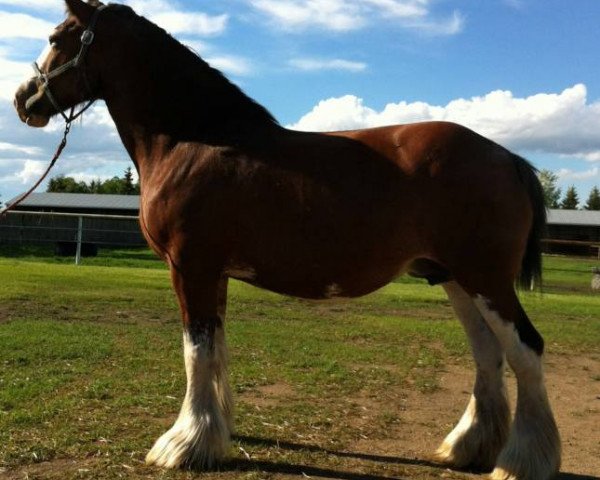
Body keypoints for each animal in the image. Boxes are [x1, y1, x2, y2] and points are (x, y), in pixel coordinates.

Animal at [11, 1, 560, 478]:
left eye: (57, 39)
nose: (22, 99)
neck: (193, 140)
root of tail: (506, 156)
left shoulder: (189, 266)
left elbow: (196, 351)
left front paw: (182, 445)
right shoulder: (213, 273)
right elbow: (216, 350)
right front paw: (214, 433)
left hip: (486, 278)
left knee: (526, 350)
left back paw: (524, 461)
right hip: (454, 278)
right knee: (488, 354)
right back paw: (468, 447)